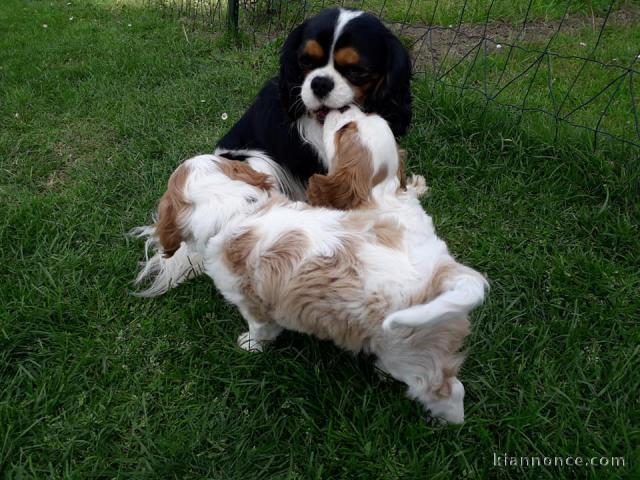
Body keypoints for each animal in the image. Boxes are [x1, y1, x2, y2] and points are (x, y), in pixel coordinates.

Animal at [132, 107, 488, 422]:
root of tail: (448, 276)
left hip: (412, 353)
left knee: (448, 390)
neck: (236, 209)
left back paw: (446, 422)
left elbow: (260, 329)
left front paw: (250, 346)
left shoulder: (252, 301)